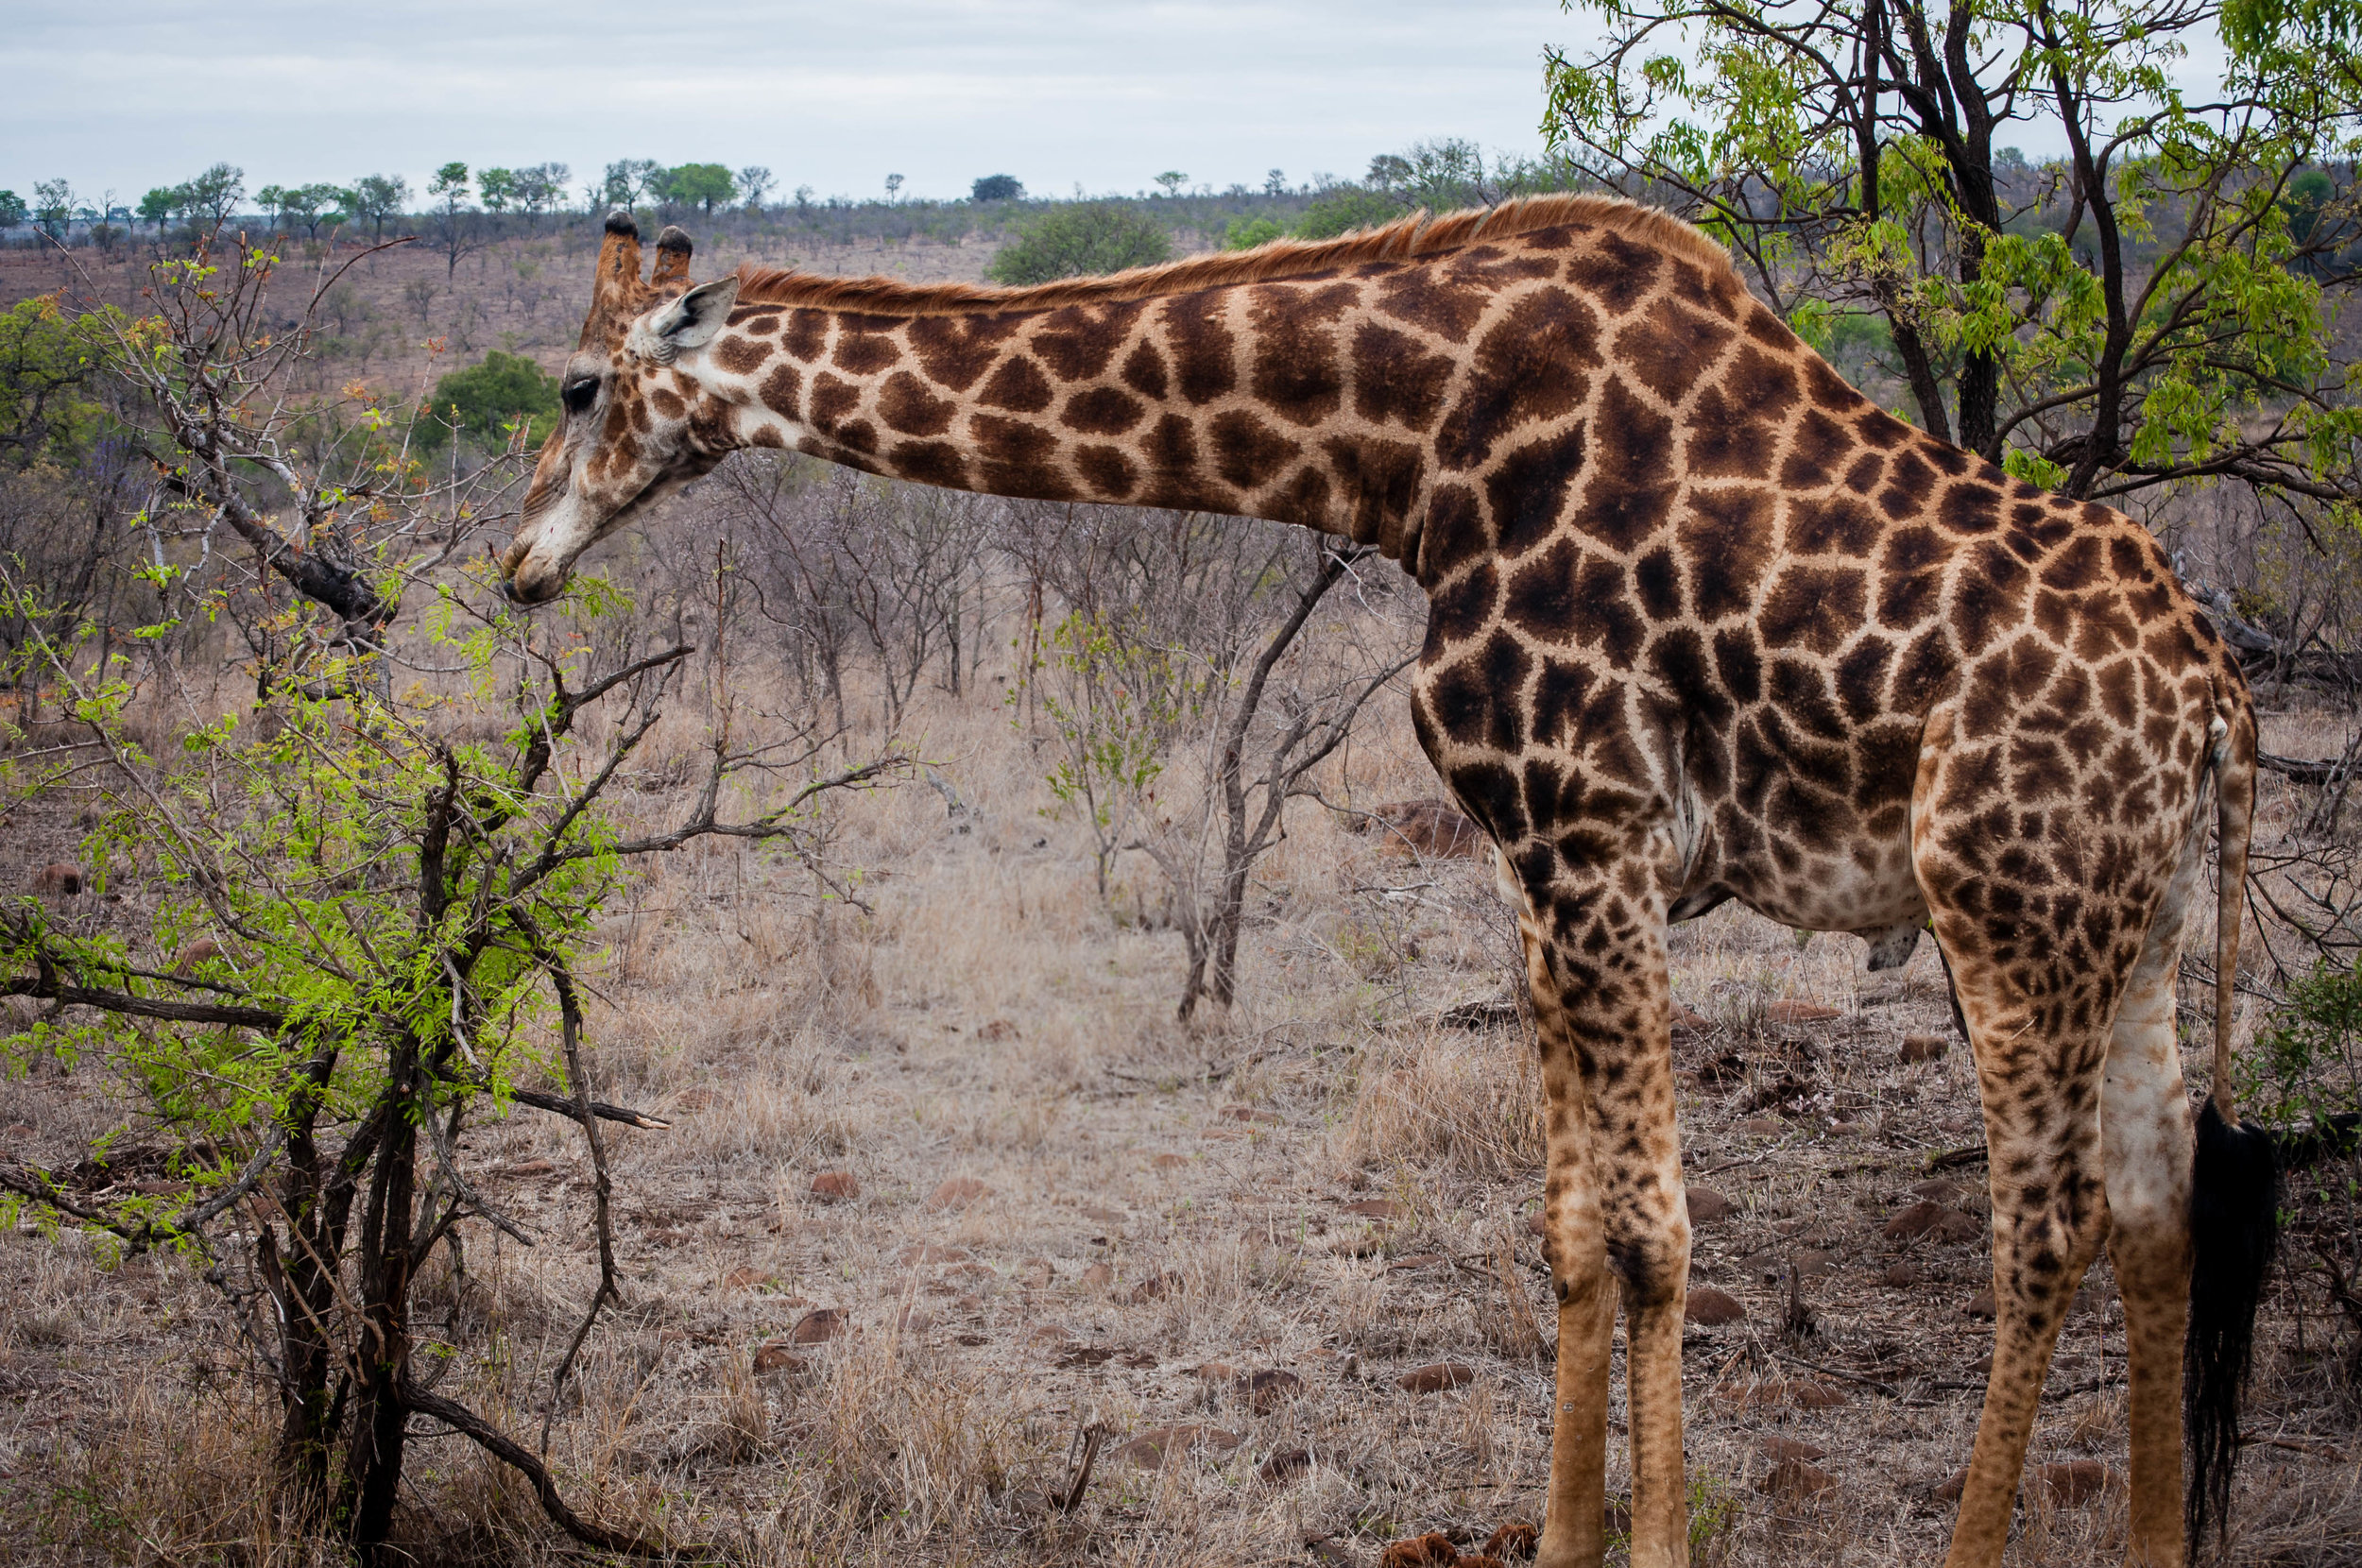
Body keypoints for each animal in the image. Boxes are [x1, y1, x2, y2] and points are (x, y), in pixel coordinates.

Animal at [503, 201, 2286, 1559]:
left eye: (581, 385)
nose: (517, 561)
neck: (1406, 443)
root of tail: (2215, 694)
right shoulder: (1540, 863)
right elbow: (1573, 1226)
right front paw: (1564, 1541)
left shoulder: (1592, 829)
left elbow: (1655, 1232)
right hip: (2137, 928)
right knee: (2157, 1211)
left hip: (2009, 910)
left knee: (2044, 1227)